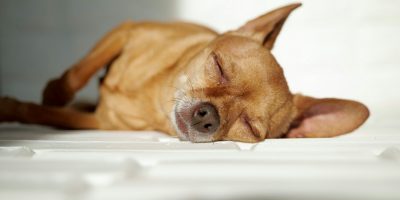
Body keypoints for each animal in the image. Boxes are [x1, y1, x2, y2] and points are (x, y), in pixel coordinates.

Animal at [0, 3, 368, 143]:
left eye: (249, 128)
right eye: (218, 66)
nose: (209, 116)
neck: (154, 98)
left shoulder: (97, 123)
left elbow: (40, 113)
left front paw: (11, 107)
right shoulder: (126, 30)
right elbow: (78, 73)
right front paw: (54, 91)